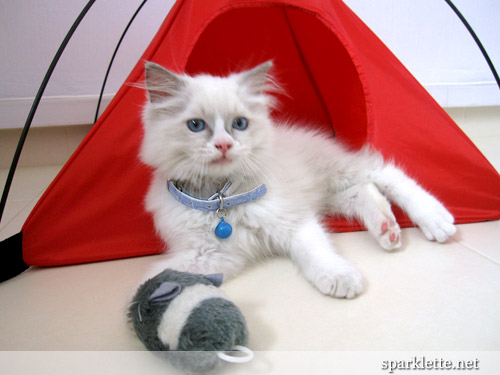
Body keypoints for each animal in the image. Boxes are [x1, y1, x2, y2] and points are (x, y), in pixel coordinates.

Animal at [140, 61, 458, 300]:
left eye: (240, 124)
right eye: (195, 125)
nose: (224, 145)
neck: (220, 197)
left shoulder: (292, 220)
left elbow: (315, 251)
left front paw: (339, 277)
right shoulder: (208, 254)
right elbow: (161, 275)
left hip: (338, 170)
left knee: (385, 173)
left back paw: (435, 219)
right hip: (329, 194)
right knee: (364, 191)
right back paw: (386, 228)